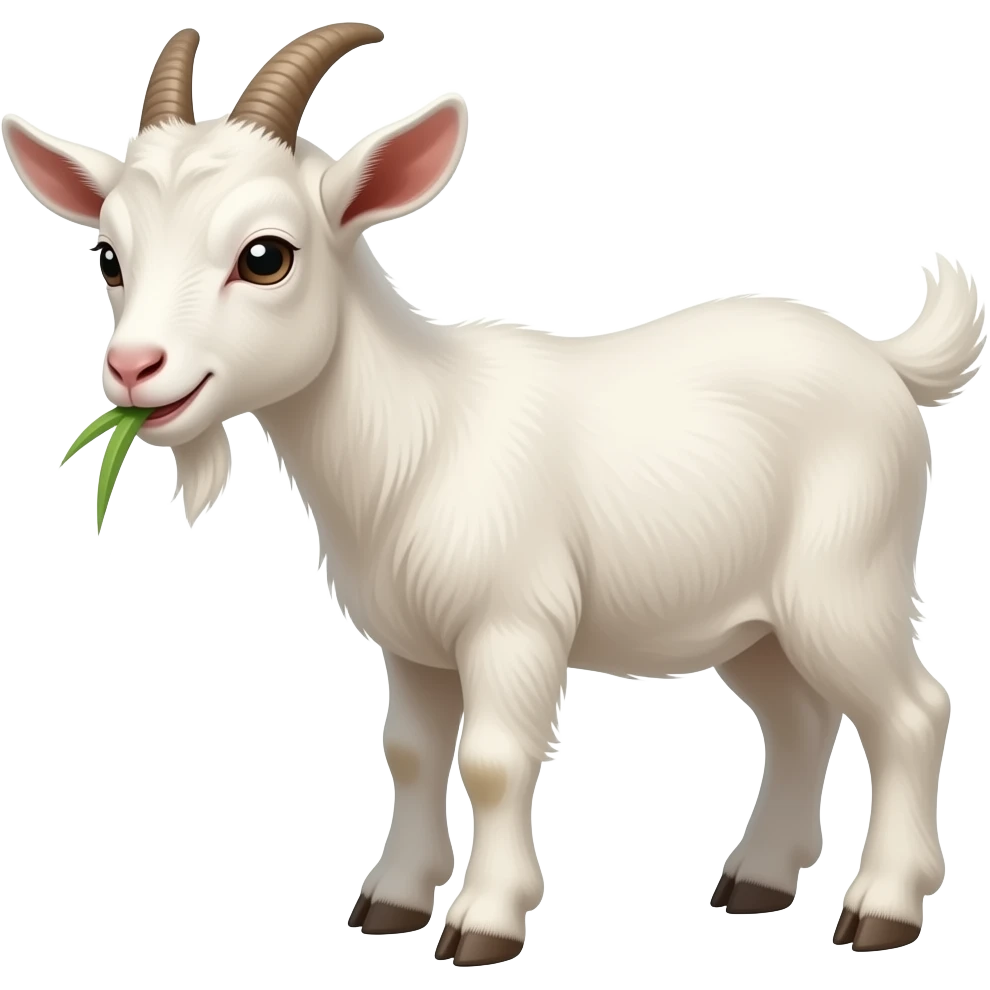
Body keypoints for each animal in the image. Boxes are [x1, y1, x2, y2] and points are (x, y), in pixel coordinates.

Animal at [5, 24, 983, 967]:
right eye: (109, 257)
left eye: (265, 256)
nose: (135, 369)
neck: (416, 435)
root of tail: (886, 362)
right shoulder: (411, 642)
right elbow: (410, 753)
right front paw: (392, 903)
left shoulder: (513, 623)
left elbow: (494, 761)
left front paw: (483, 924)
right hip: (752, 619)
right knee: (800, 718)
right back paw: (757, 881)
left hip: (843, 582)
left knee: (910, 712)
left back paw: (882, 909)